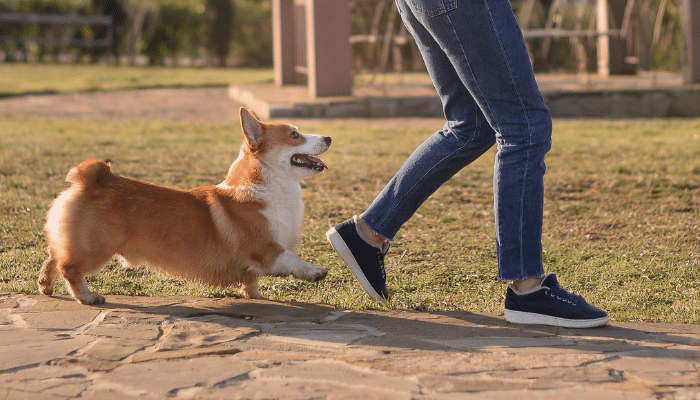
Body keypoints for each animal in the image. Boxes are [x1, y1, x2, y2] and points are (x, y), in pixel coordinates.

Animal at [38, 108, 330, 304]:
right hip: (97, 247)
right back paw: (88, 297)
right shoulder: (265, 249)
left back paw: (44, 285)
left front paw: (254, 295)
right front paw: (315, 271)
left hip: (77, 242)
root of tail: (93, 178)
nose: (328, 137)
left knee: (54, 256)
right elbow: (292, 259)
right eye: (294, 135)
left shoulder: (255, 263)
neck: (270, 185)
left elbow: (251, 281)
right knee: (69, 268)